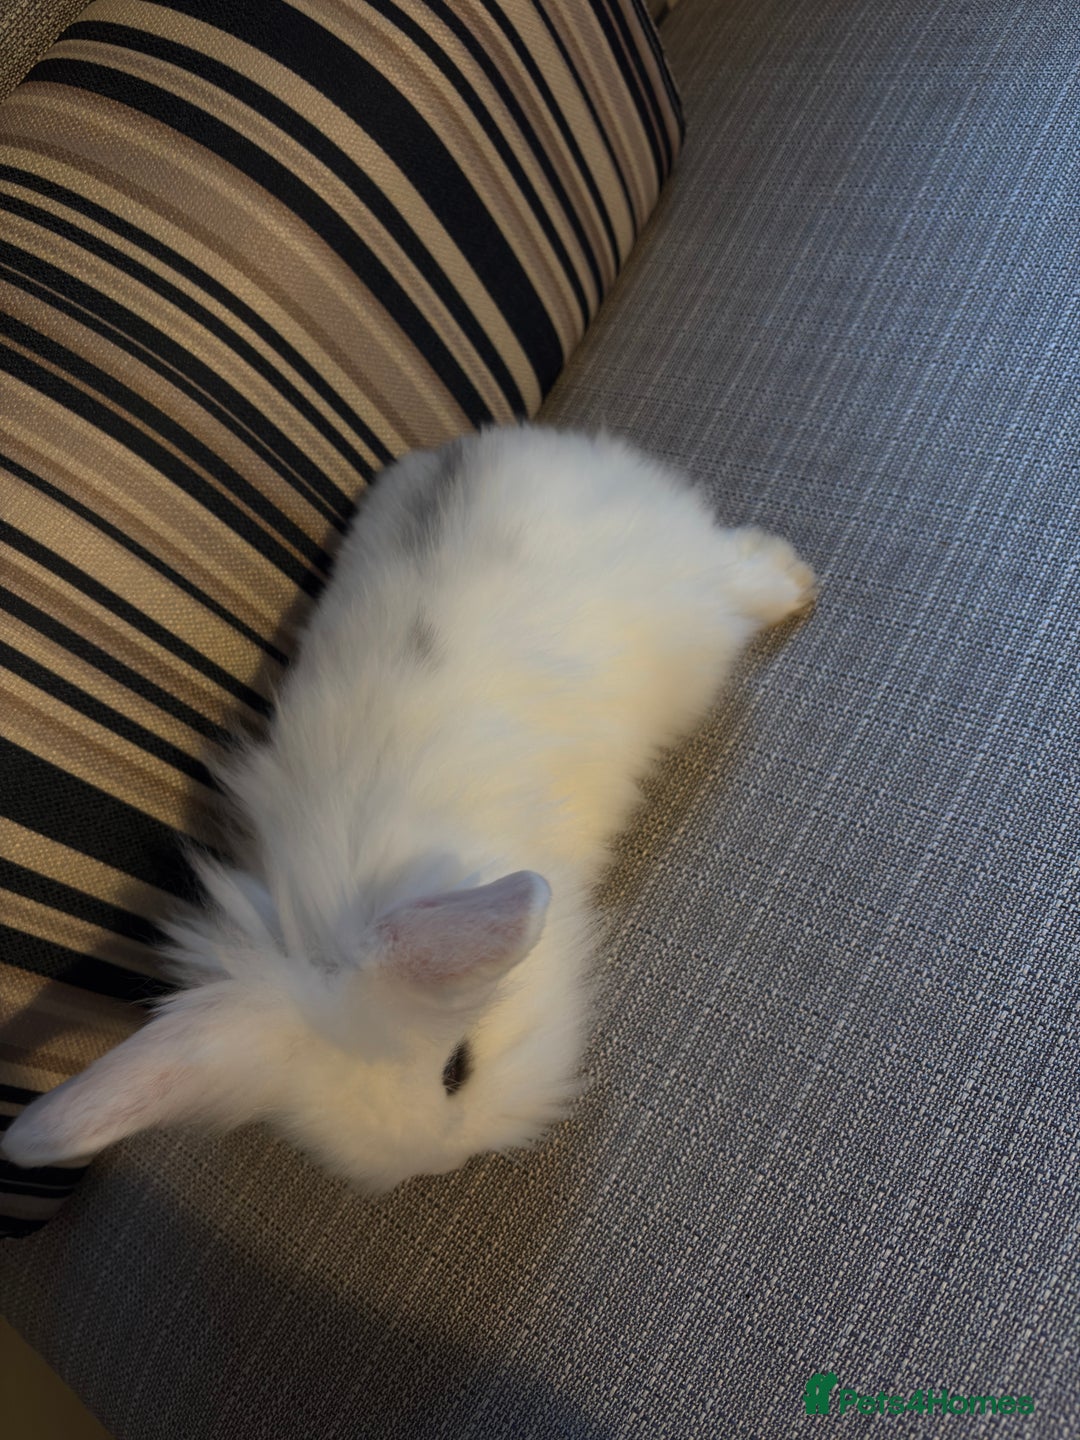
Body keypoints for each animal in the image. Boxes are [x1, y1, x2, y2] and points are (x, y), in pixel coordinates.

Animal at [1, 424, 816, 1192]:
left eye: (458, 1068)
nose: (446, 1162)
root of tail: (485, 447)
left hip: (679, 596)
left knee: (731, 571)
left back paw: (796, 583)